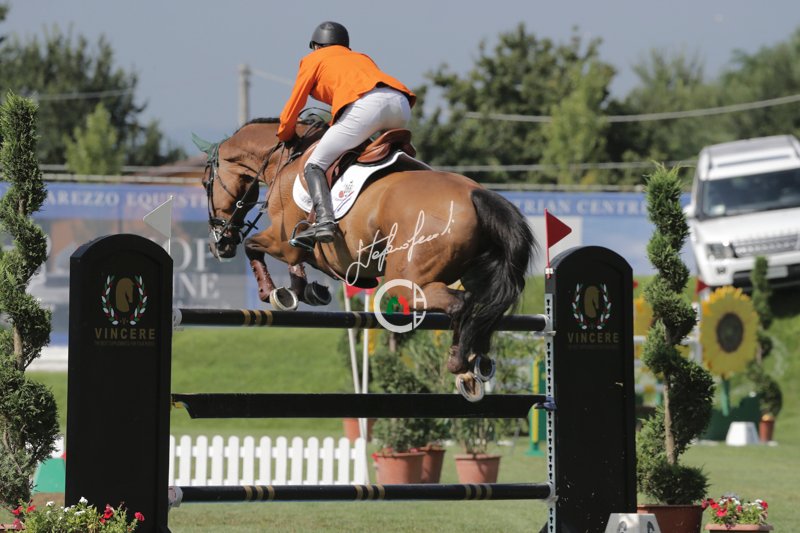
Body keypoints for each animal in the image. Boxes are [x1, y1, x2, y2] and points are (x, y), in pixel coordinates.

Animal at [195, 117, 536, 401]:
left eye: (205, 183)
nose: (218, 245)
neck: (284, 161)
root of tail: (477, 195)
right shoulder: (309, 249)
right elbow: (301, 264)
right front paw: (307, 290)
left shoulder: (284, 242)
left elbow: (255, 247)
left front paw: (275, 293)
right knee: (482, 309)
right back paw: (477, 362)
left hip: (405, 281)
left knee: (460, 305)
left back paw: (460, 362)